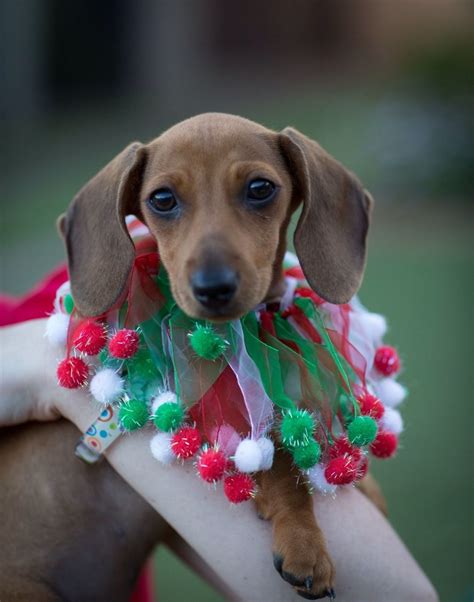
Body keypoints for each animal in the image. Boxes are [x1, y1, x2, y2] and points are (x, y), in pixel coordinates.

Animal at [55, 111, 386, 596]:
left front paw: (369, 489)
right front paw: (305, 543)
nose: (213, 289)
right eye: (162, 199)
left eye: (260, 188)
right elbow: (279, 463)